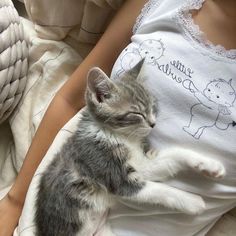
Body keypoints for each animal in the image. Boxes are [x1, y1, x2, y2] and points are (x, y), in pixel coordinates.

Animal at [34, 60, 225, 235]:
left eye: (153, 106)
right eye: (137, 113)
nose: (153, 124)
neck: (119, 136)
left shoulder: (143, 165)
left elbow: (174, 155)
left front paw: (211, 166)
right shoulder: (109, 169)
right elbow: (160, 191)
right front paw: (194, 202)